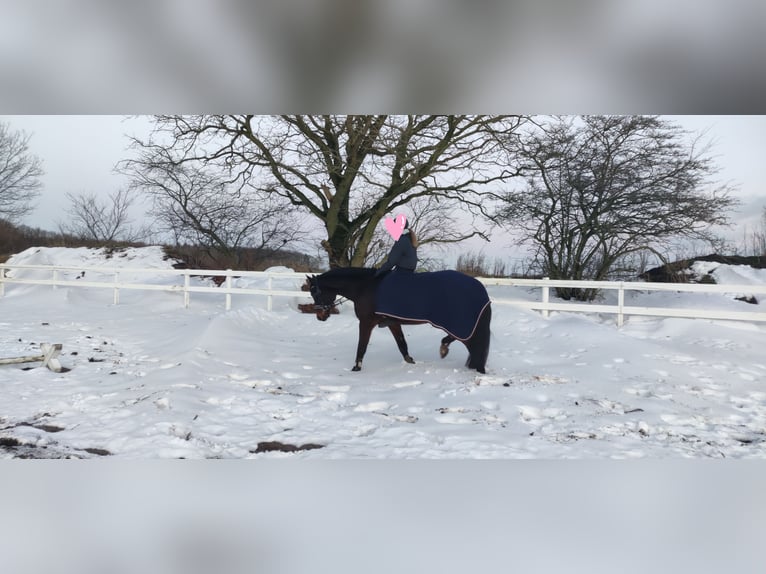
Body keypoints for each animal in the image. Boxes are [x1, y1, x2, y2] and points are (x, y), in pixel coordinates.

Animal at [306, 268, 491, 373]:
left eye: (314, 292)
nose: (320, 316)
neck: (365, 286)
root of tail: (480, 289)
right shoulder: (393, 323)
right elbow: (402, 344)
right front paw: (410, 361)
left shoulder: (366, 323)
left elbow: (362, 346)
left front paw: (356, 367)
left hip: (459, 325)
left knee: (471, 344)